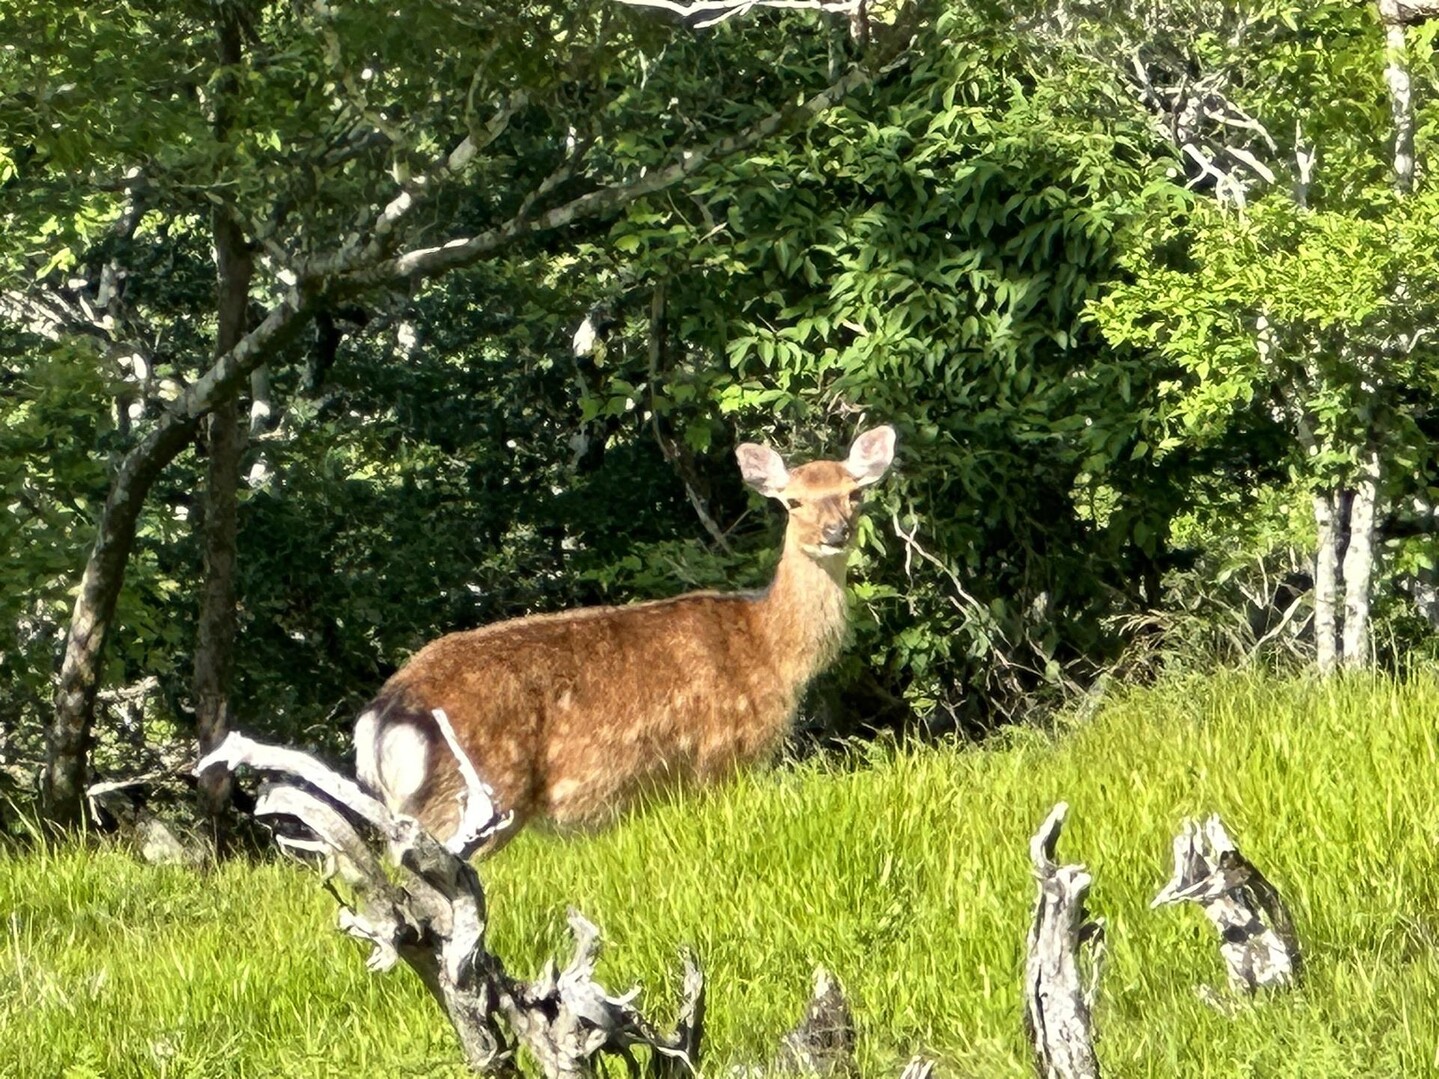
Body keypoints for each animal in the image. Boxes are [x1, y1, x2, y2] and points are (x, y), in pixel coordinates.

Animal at [352, 422, 892, 851]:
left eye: (855, 493)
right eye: (793, 501)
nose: (836, 532)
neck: (771, 649)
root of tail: (383, 716)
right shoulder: (722, 754)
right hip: (476, 797)